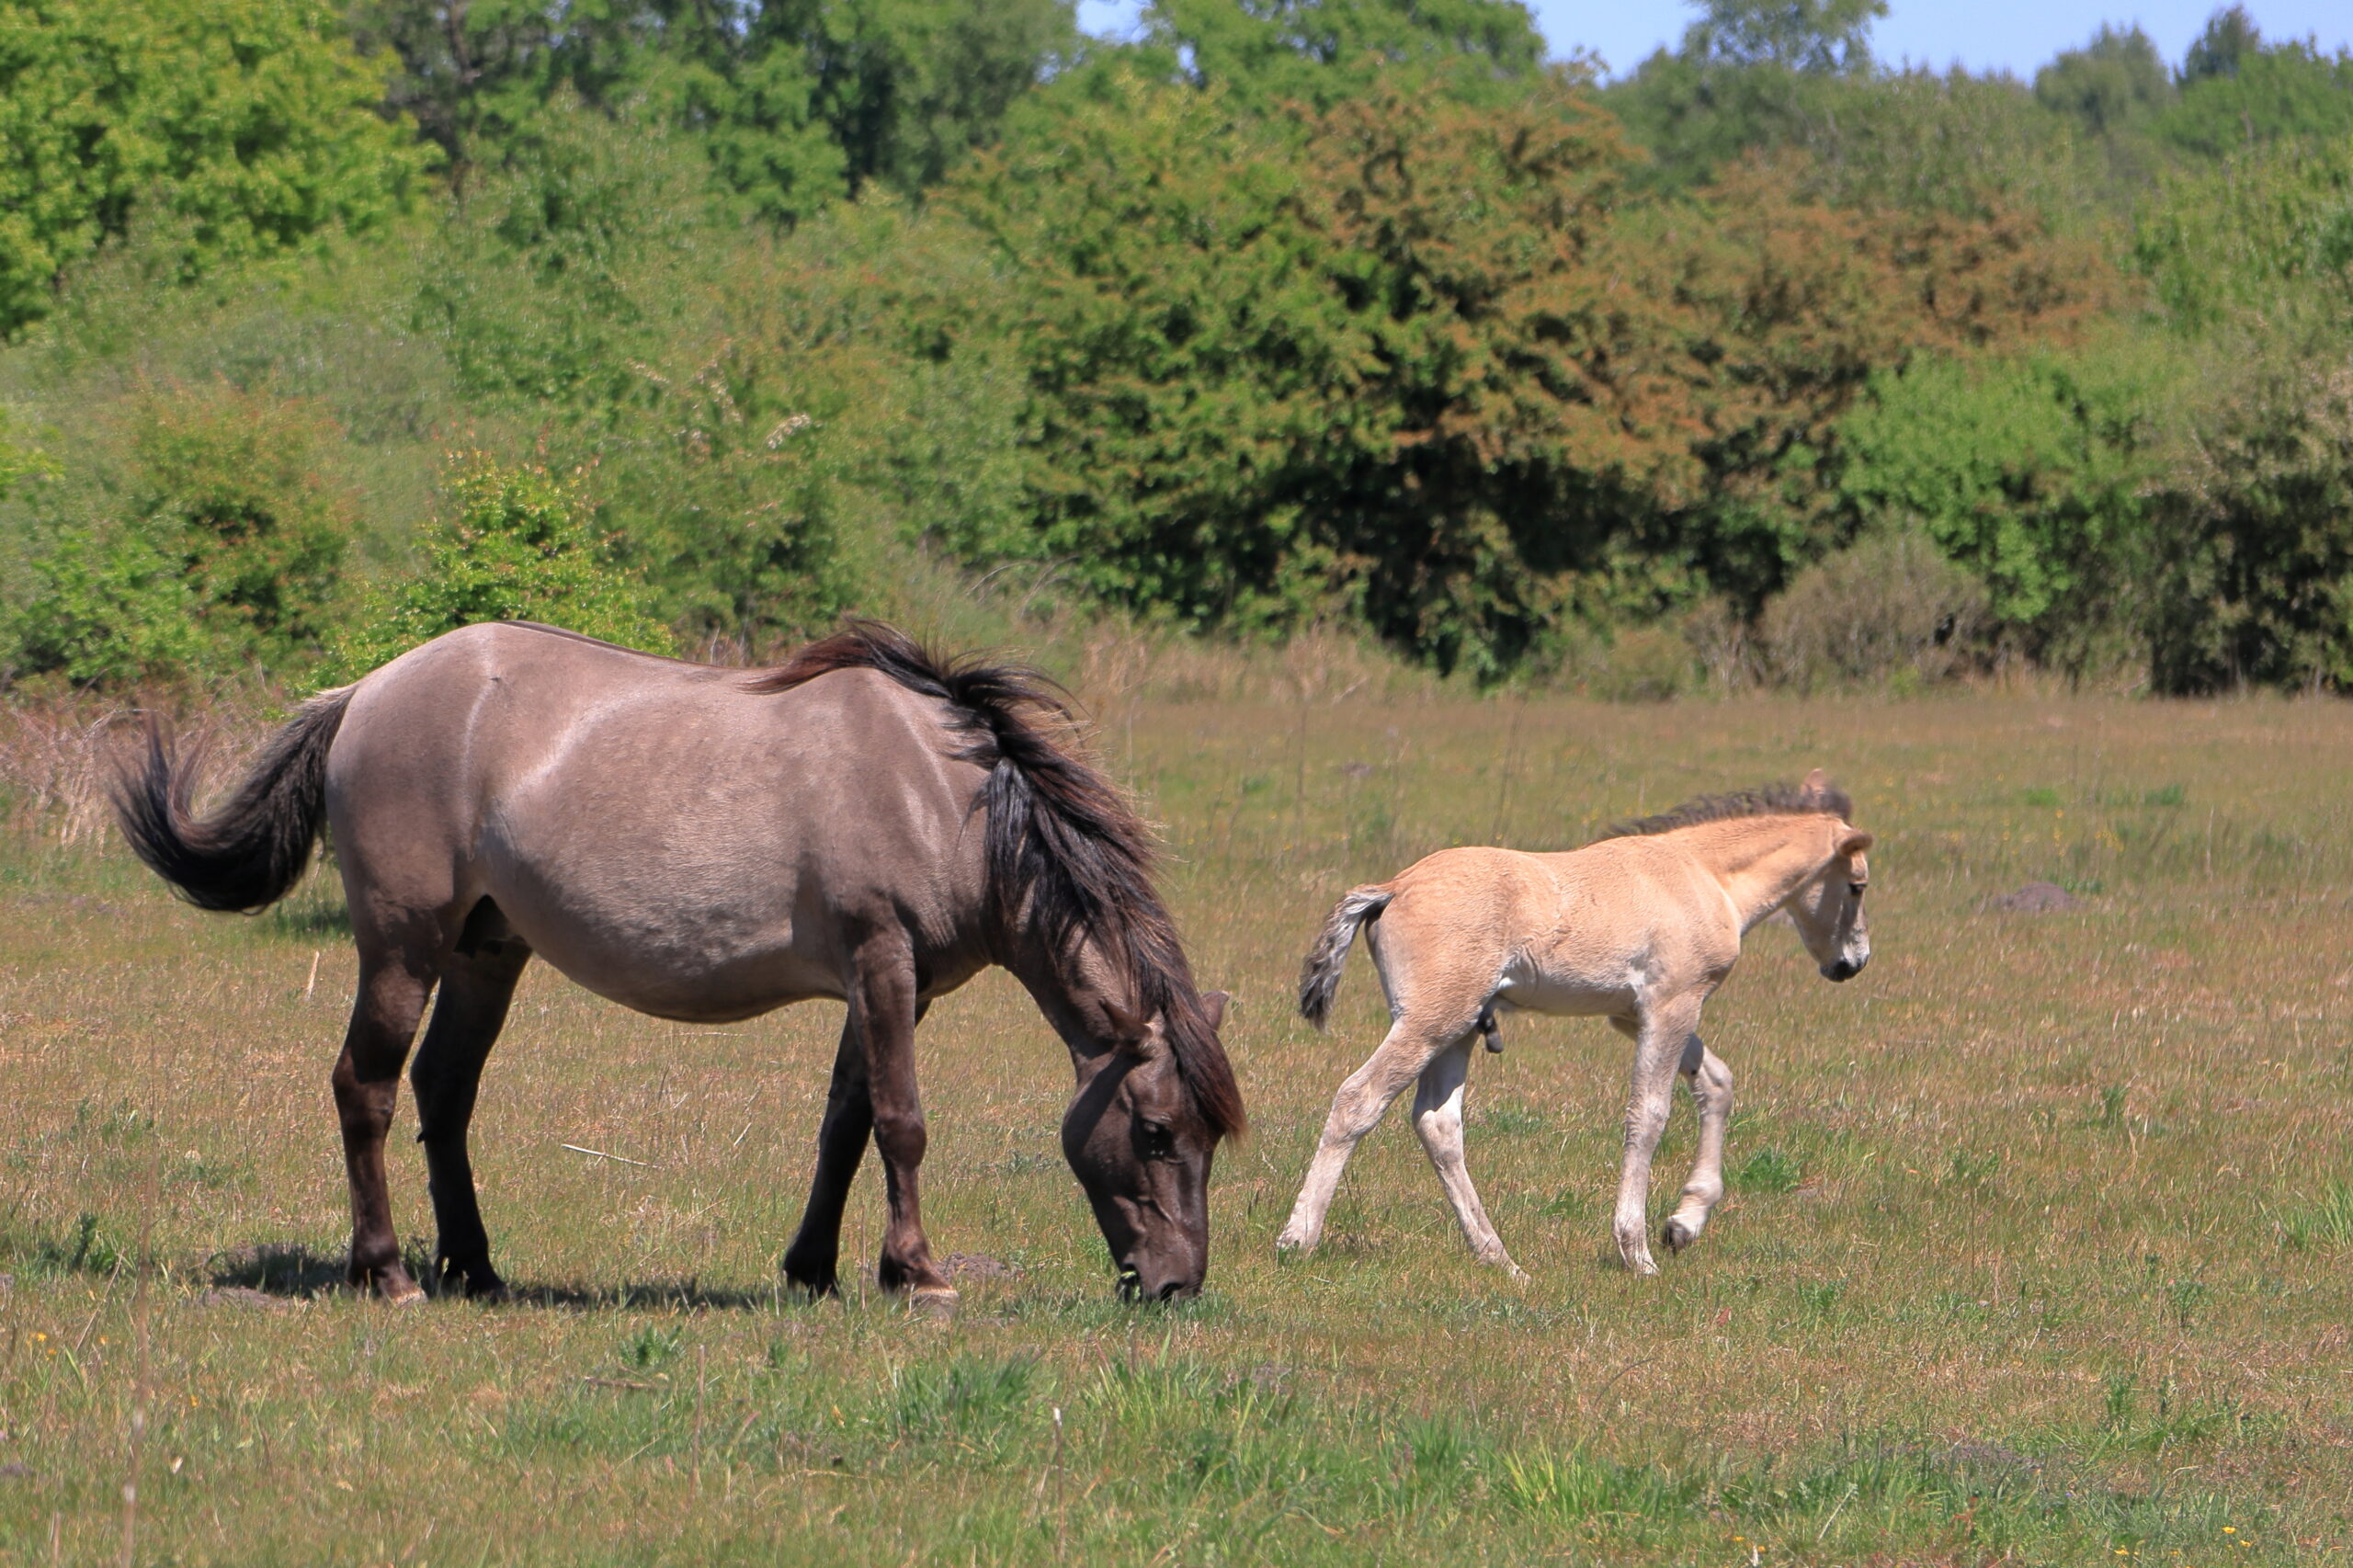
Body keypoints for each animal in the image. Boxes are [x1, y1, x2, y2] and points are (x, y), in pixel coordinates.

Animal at [112, 620, 1244, 1307]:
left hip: (486, 952)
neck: (946, 793)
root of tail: (366, 691)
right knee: (368, 1087)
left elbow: (845, 1122)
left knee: (445, 1090)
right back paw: (387, 1273)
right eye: (1152, 1131)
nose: (1175, 1283)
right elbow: (902, 1123)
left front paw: (813, 1269)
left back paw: (475, 1266)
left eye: (1205, 1138)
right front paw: (916, 1272)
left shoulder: (891, 988)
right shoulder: (884, 964)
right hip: (404, 945)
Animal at [1275, 772, 1870, 1278]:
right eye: (1858, 884)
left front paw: (1683, 1223)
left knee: (1438, 1124)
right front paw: (1637, 1252)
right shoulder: (1673, 1005)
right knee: (1360, 1098)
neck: (1702, 874)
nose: (1853, 963)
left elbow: (1716, 1084)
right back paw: (1298, 1238)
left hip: (1459, 1028)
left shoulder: (1632, 1014)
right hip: (1431, 1022)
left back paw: (1500, 1259)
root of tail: (1393, 886)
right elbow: (1649, 1116)